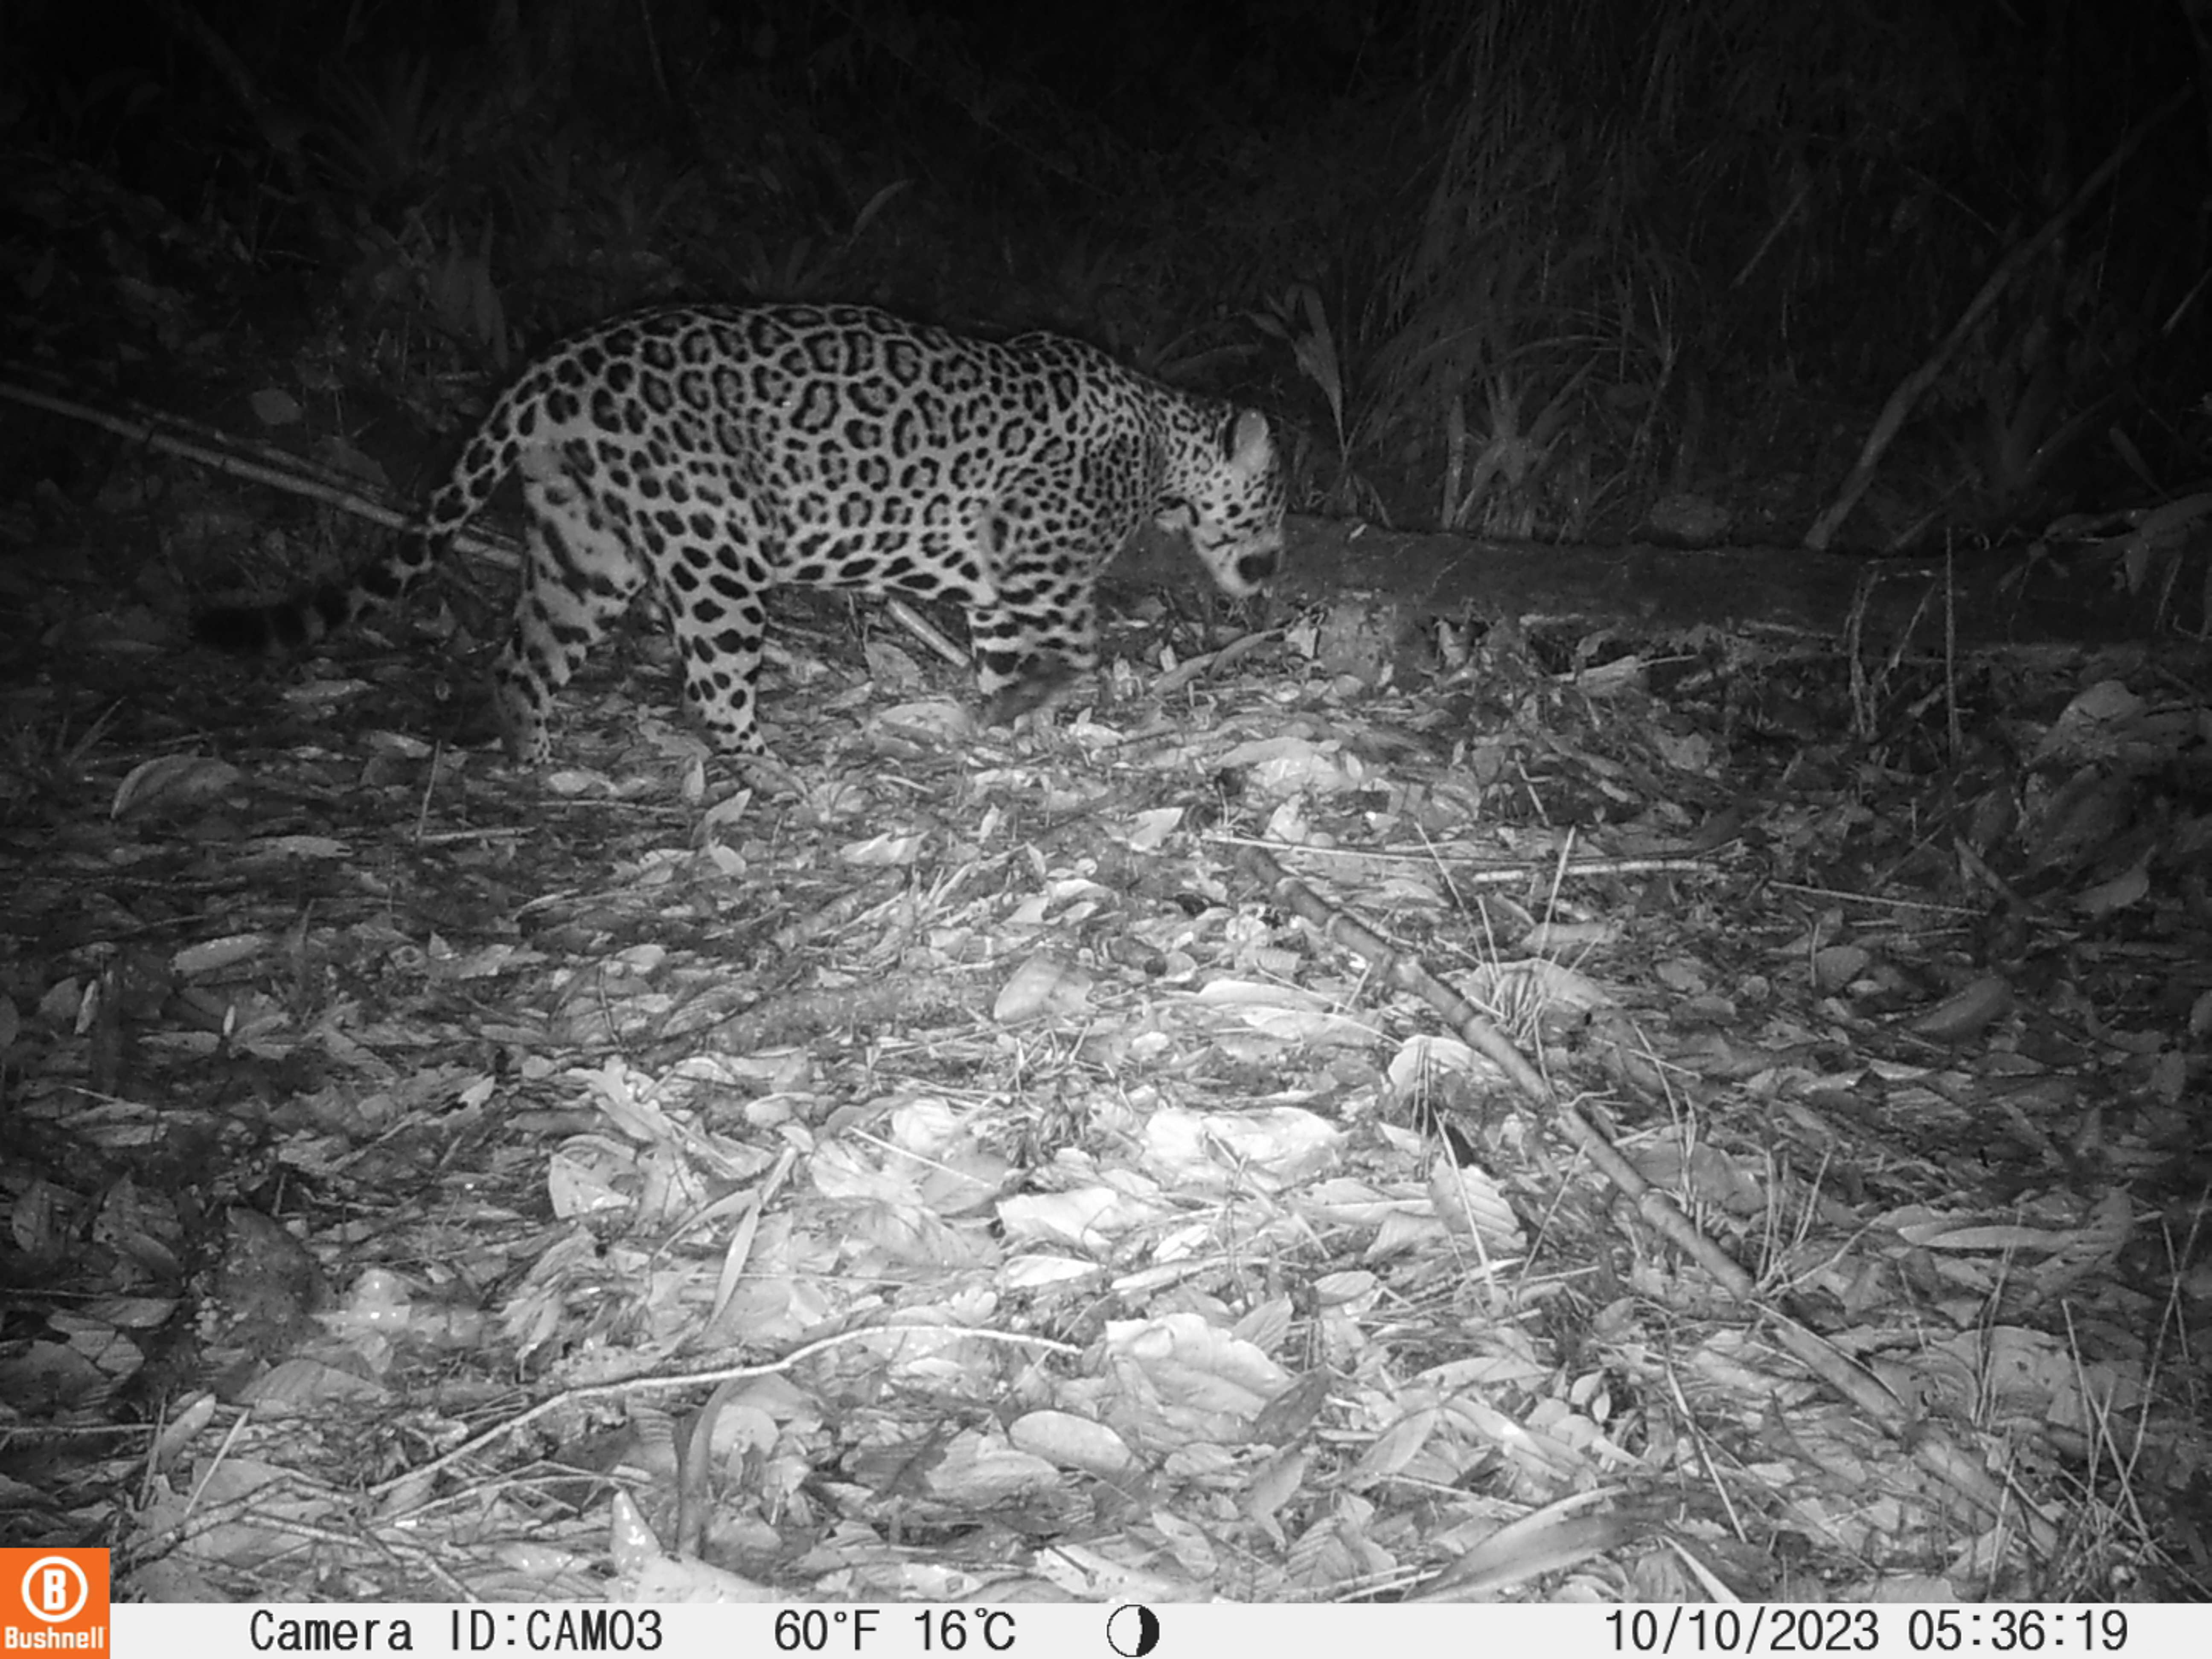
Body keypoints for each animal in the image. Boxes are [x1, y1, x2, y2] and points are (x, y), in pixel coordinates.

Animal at [195, 302, 1286, 761]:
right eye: (1276, 506)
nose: (1275, 571)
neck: (1164, 439)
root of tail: (552, 367)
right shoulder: (1039, 553)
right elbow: (1067, 643)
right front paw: (1032, 706)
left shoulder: (995, 575)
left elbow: (1005, 649)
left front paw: (1010, 716)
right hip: (714, 549)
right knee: (712, 688)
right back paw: (776, 775)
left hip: (585, 552)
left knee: (521, 659)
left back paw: (542, 765)